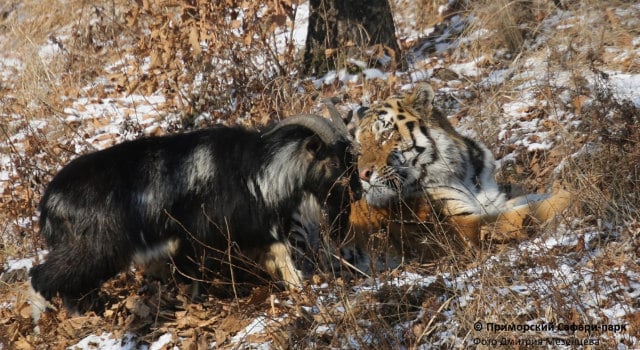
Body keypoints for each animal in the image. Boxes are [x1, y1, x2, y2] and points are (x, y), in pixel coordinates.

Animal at [30, 115, 362, 318]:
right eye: (336, 162)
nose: (358, 192)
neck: (256, 170)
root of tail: (48, 203)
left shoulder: (254, 229)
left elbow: (282, 258)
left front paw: (299, 290)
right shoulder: (199, 237)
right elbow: (194, 277)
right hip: (91, 249)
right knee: (41, 277)